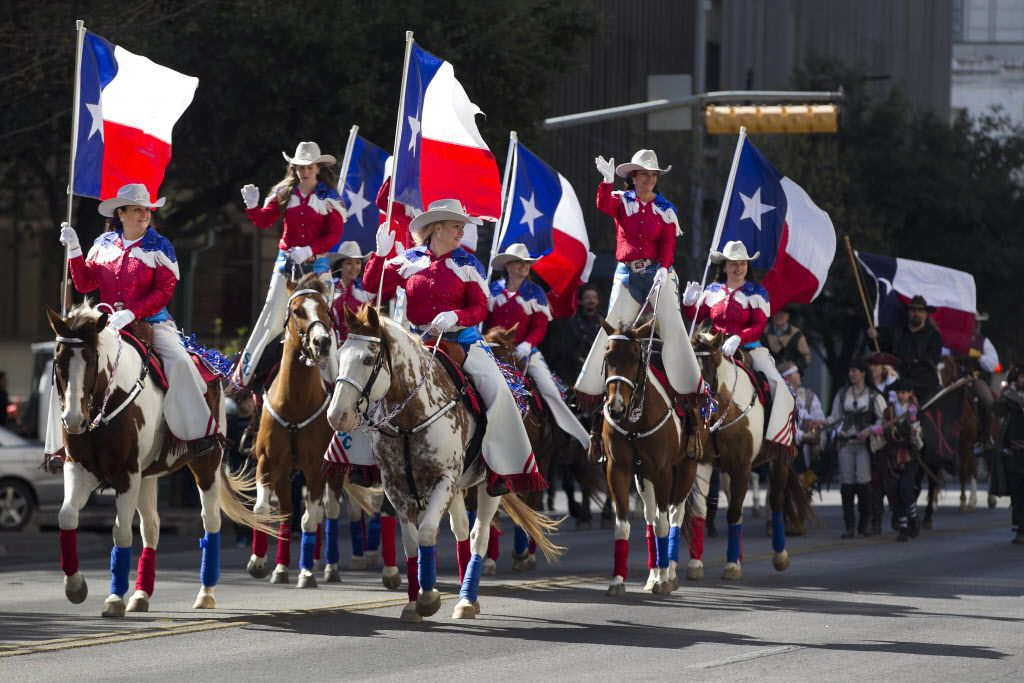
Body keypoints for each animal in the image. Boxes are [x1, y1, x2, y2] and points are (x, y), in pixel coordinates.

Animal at [327, 307, 561, 622]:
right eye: (340, 354)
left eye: (367, 359)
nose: (336, 416)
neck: (411, 418)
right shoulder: (396, 487)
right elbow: (411, 542)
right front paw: (412, 604)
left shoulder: (443, 480)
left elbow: (427, 533)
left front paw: (428, 598)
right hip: (457, 489)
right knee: (461, 531)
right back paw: (465, 596)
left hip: (487, 484)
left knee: (478, 536)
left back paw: (466, 600)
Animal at [598, 321, 696, 593]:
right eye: (607, 356)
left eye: (634, 357)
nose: (615, 407)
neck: (635, 421)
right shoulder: (618, 470)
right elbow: (623, 525)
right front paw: (618, 580)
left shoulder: (663, 473)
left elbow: (664, 523)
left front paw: (663, 580)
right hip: (644, 478)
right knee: (650, 517)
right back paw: (653, 574)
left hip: (686, 469)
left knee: (674, 516)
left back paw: (668, 573)